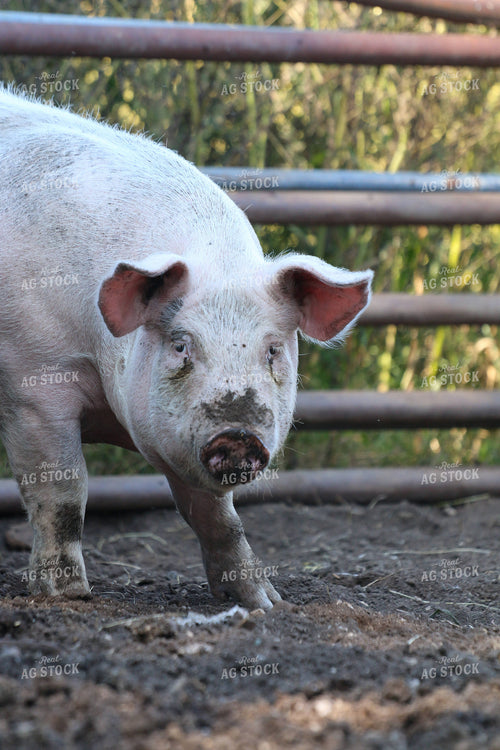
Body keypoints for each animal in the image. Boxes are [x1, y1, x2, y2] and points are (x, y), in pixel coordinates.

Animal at [0, 86, 373, 610]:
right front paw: (67, 595)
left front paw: (264, 602)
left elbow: (218, 518)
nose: (237, 434)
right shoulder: (31, 382)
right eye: (181, 346)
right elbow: (63, 491)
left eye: (273, 350)